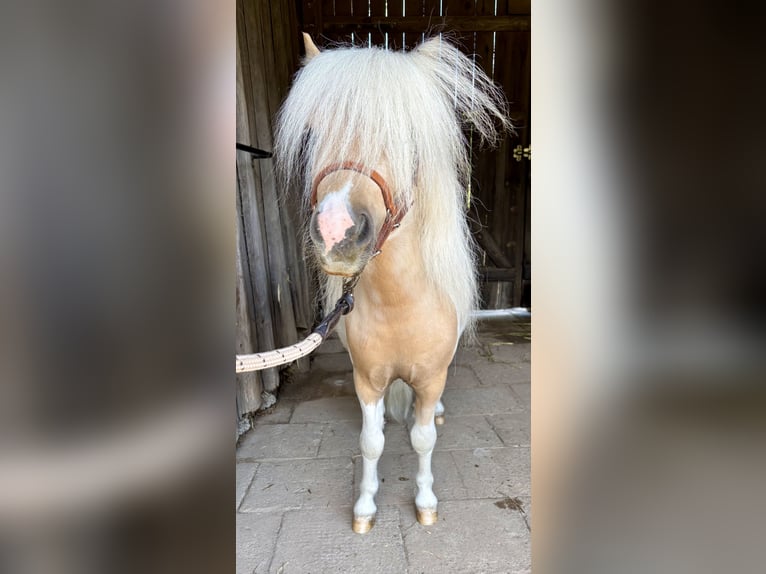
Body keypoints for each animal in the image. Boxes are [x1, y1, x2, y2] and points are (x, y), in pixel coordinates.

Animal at [275, 33, 510, 533]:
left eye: (405, 137)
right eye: (313, 134)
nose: (336, 233)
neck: (400, 303)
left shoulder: (430, 378)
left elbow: (422, 440)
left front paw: (425, 502)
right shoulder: (367, 379)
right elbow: (371, 442)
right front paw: (365, 507)